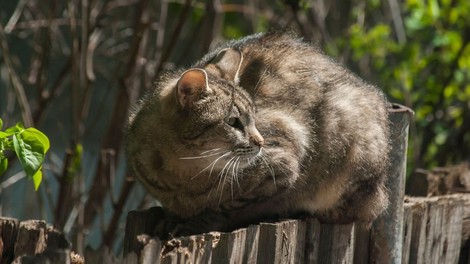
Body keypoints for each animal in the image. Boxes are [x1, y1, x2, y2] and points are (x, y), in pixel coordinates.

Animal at [126, 31, 392, 237]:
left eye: (254, 116)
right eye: (233, 122)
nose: (261, 141)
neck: (182, 178)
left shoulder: (284, 158)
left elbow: (228, 206)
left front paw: (195, 222)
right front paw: (170, 218)